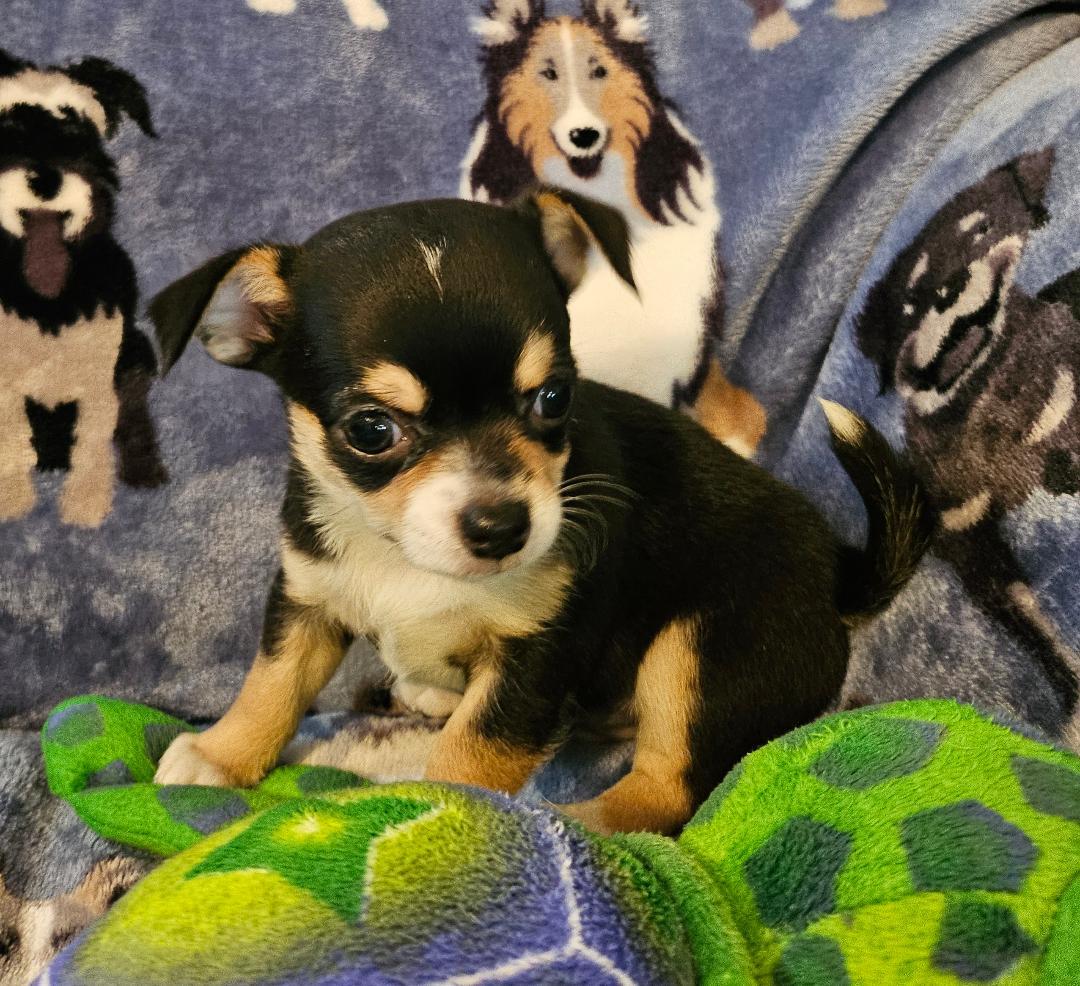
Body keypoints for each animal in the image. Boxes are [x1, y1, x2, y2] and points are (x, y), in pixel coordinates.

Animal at [0, 49, 167, 528]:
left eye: (78, 127)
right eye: (6, 125)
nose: (46, 178)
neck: (49, 302)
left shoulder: (99, 372)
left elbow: (93, 441)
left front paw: (85, 506)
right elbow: (10, 437)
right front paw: (12, 500)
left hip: (135, 353)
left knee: (134, 415)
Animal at [148, 188, 930, 834]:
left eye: (554, 398)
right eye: (371, 431)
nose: (503, 527)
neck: (407, 561)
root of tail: (836, 588)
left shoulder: (536, 653)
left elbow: (472, 750)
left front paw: (444, 817)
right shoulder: (308, 599)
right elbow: (273, 681)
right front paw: (220, 755)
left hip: (699, 648)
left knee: (669, 790)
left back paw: (581, 822)